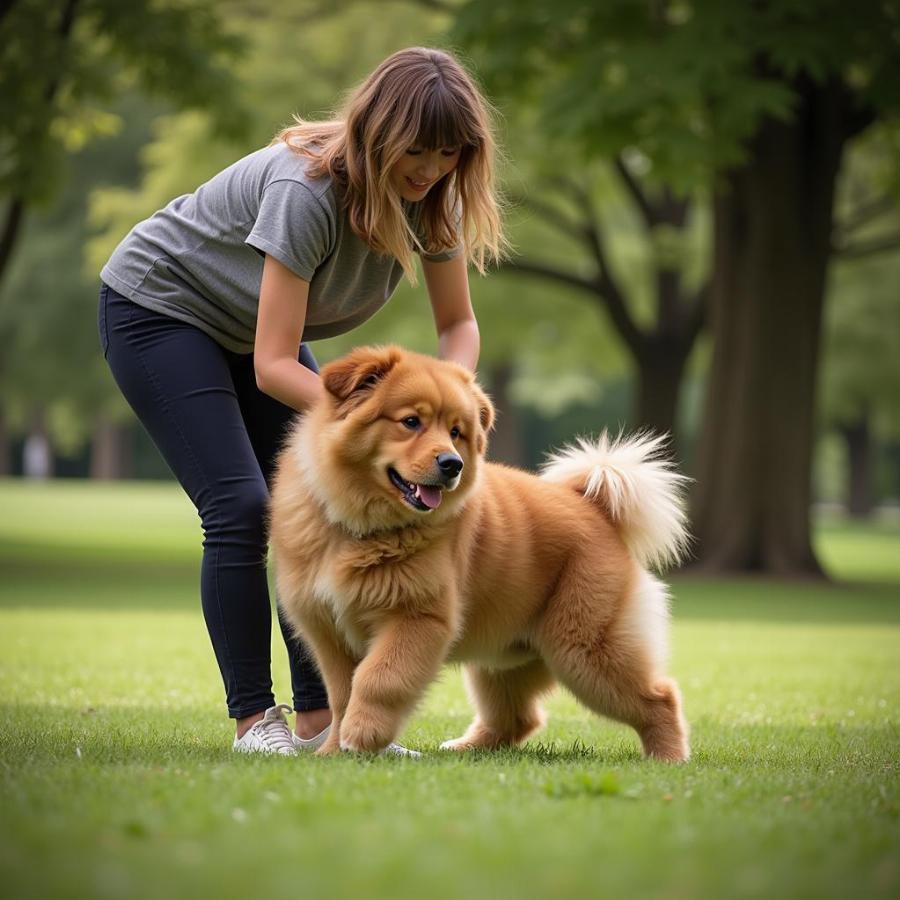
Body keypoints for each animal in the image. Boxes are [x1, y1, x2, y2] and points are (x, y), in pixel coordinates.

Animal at [270, 344, 692, 760]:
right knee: (519, 718)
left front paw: (361, 734)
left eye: (456, 432)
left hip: (585, 650)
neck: (363, 527)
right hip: (504, 660)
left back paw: (667, 757)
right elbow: (342, 694)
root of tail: (595, 507)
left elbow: (379, 679)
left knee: (660, 699)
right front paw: (333, 751)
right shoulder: (329, 631)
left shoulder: (417, 618)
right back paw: (467, 748)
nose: (452, 464)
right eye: (411, 422)